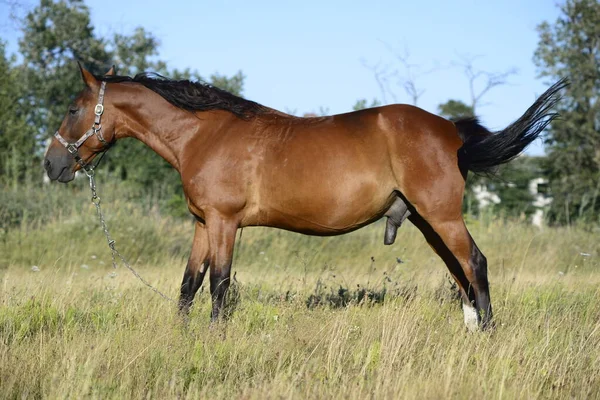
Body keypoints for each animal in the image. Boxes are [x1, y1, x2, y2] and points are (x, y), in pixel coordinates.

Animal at [44, 64, 564, 330]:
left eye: (71, 108)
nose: (53, 165)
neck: (204, 134)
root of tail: (450, 131)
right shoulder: (202, 223)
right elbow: (189, 284)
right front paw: (181, 336)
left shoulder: (224, 223)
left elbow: (219, 285)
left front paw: (214, 339)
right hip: (425, 219)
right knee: (459, 272)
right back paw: (471, 330)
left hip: (442, 216)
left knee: (474, 263)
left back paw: (489, 332)